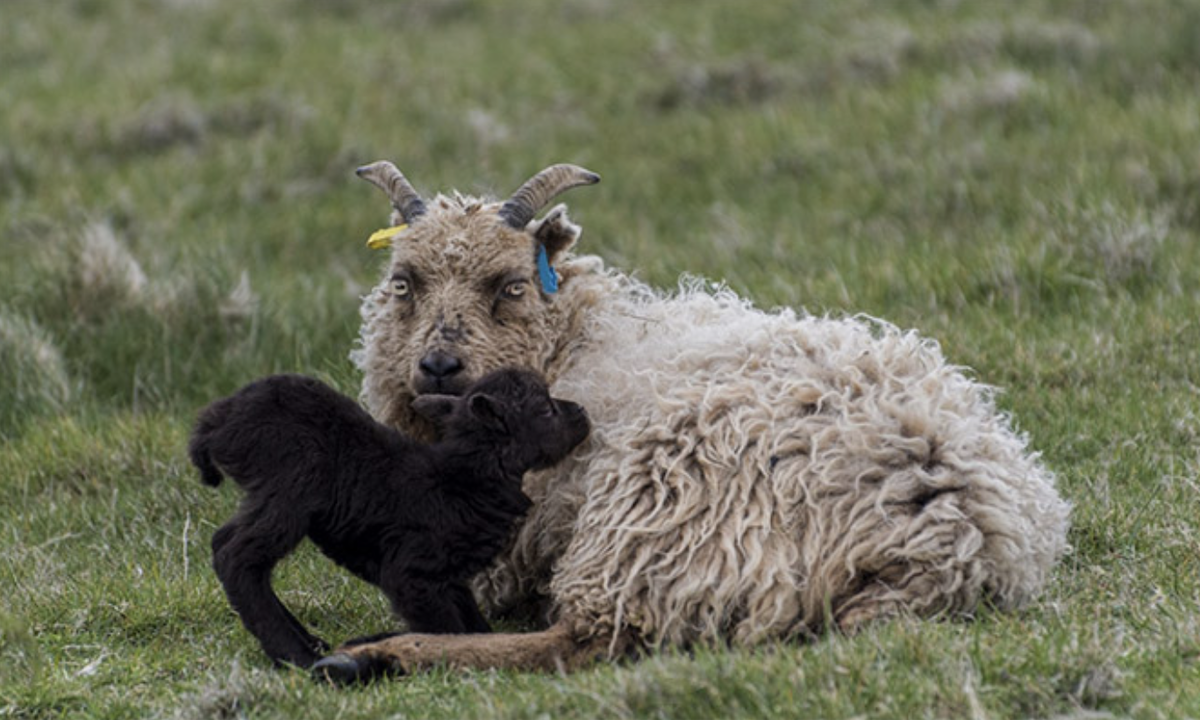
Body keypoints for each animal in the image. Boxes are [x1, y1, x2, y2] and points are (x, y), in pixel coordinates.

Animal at [186, 372, 590, 667]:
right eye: (545, 409)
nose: (583, 411)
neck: (465, 480)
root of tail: (216, 422)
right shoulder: (412, 573)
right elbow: (443, 628)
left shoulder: (447, 574)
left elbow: (470, 620)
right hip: (291, 484)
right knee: (235, 555)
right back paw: (294, 653)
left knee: (230, 546)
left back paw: (308, 642)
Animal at [316, 162, 1070, 681]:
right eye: (404, 282)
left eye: (511, 285)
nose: (439, 365)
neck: (578, 340)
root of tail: (947, 531)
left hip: (660, 510)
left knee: (590, 638)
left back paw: (370, 657)